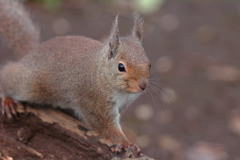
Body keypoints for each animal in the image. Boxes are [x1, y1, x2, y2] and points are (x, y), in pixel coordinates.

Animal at [0, 0, 150, 158]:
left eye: (149, 64)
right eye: (121, 67)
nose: (143, 86)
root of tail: (31, 52)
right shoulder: (95, 103)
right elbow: (105, 126)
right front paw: (126, 143)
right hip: (28, 84)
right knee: (8, 76)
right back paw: (7, 100)